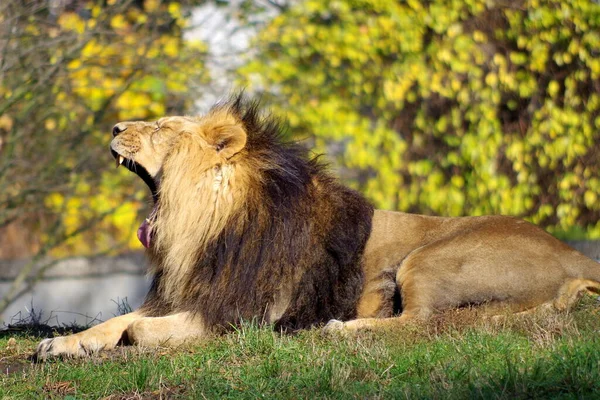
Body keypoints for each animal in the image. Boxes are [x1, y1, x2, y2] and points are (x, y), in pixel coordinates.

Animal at [35, 96, 600, 360]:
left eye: (162, 129)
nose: (113, 127)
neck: (205, 226)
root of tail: (575, 253)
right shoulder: (190, 291)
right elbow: (112, 321)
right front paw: (61, 345)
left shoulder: (245, 314)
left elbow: (134, 327)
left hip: (428, 257)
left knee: (421, 323)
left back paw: (341, 329)